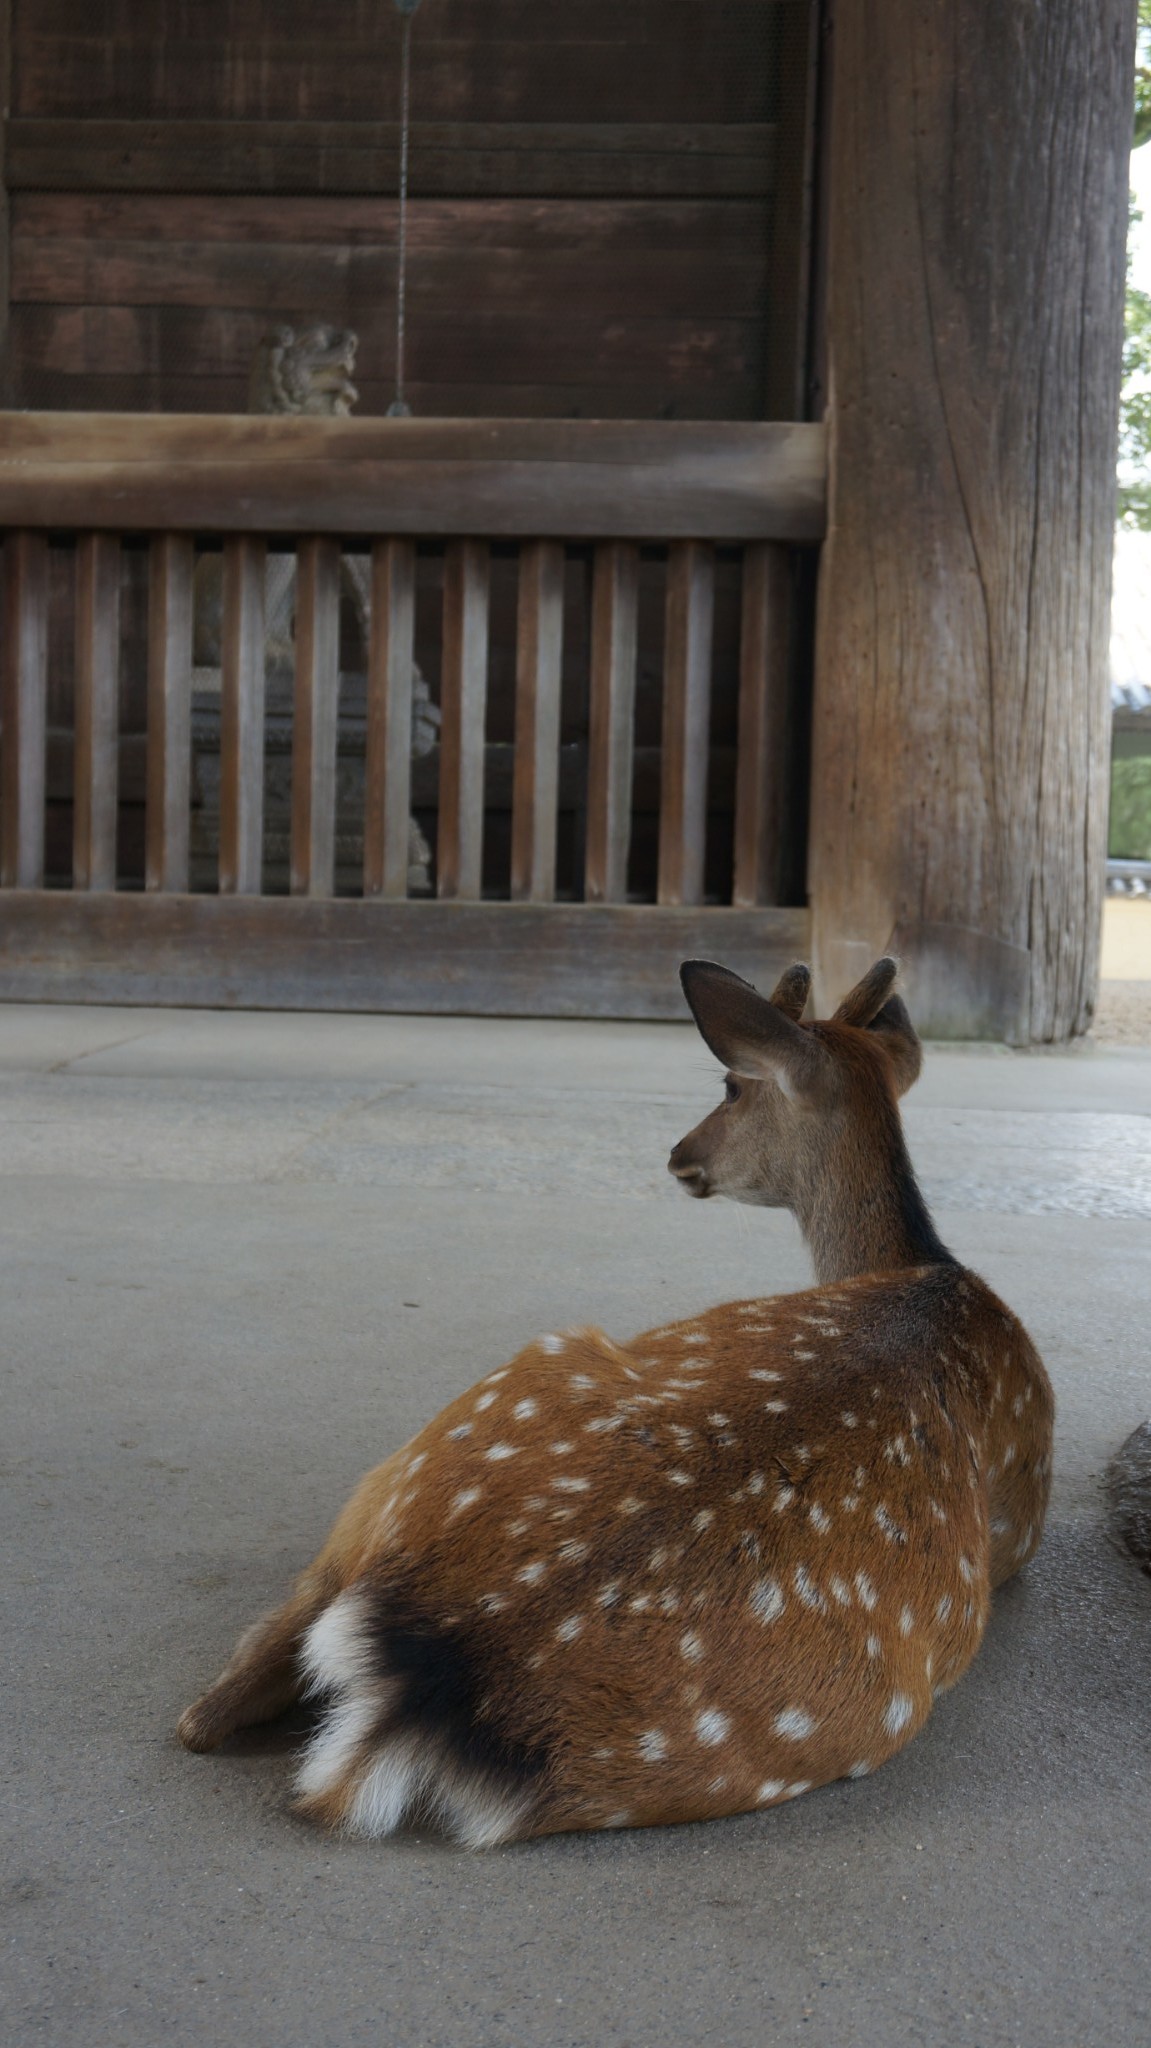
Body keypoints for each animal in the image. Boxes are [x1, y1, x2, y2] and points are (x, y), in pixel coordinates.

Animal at [177, 954, 1048, 1843]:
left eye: (731, 1085)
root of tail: (435, 1675)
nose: (678, 1155)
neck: (927, 1271)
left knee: (213, 1707)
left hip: (433, 1450)